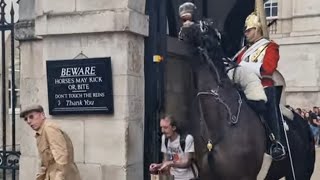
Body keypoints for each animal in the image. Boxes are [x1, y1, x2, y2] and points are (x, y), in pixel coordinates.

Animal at [179, 17, 316, 179]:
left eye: (203, 27)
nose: (183, 28)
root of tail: (304, 123)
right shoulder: (206, 175)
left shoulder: (244, 176)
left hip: (301, 172)